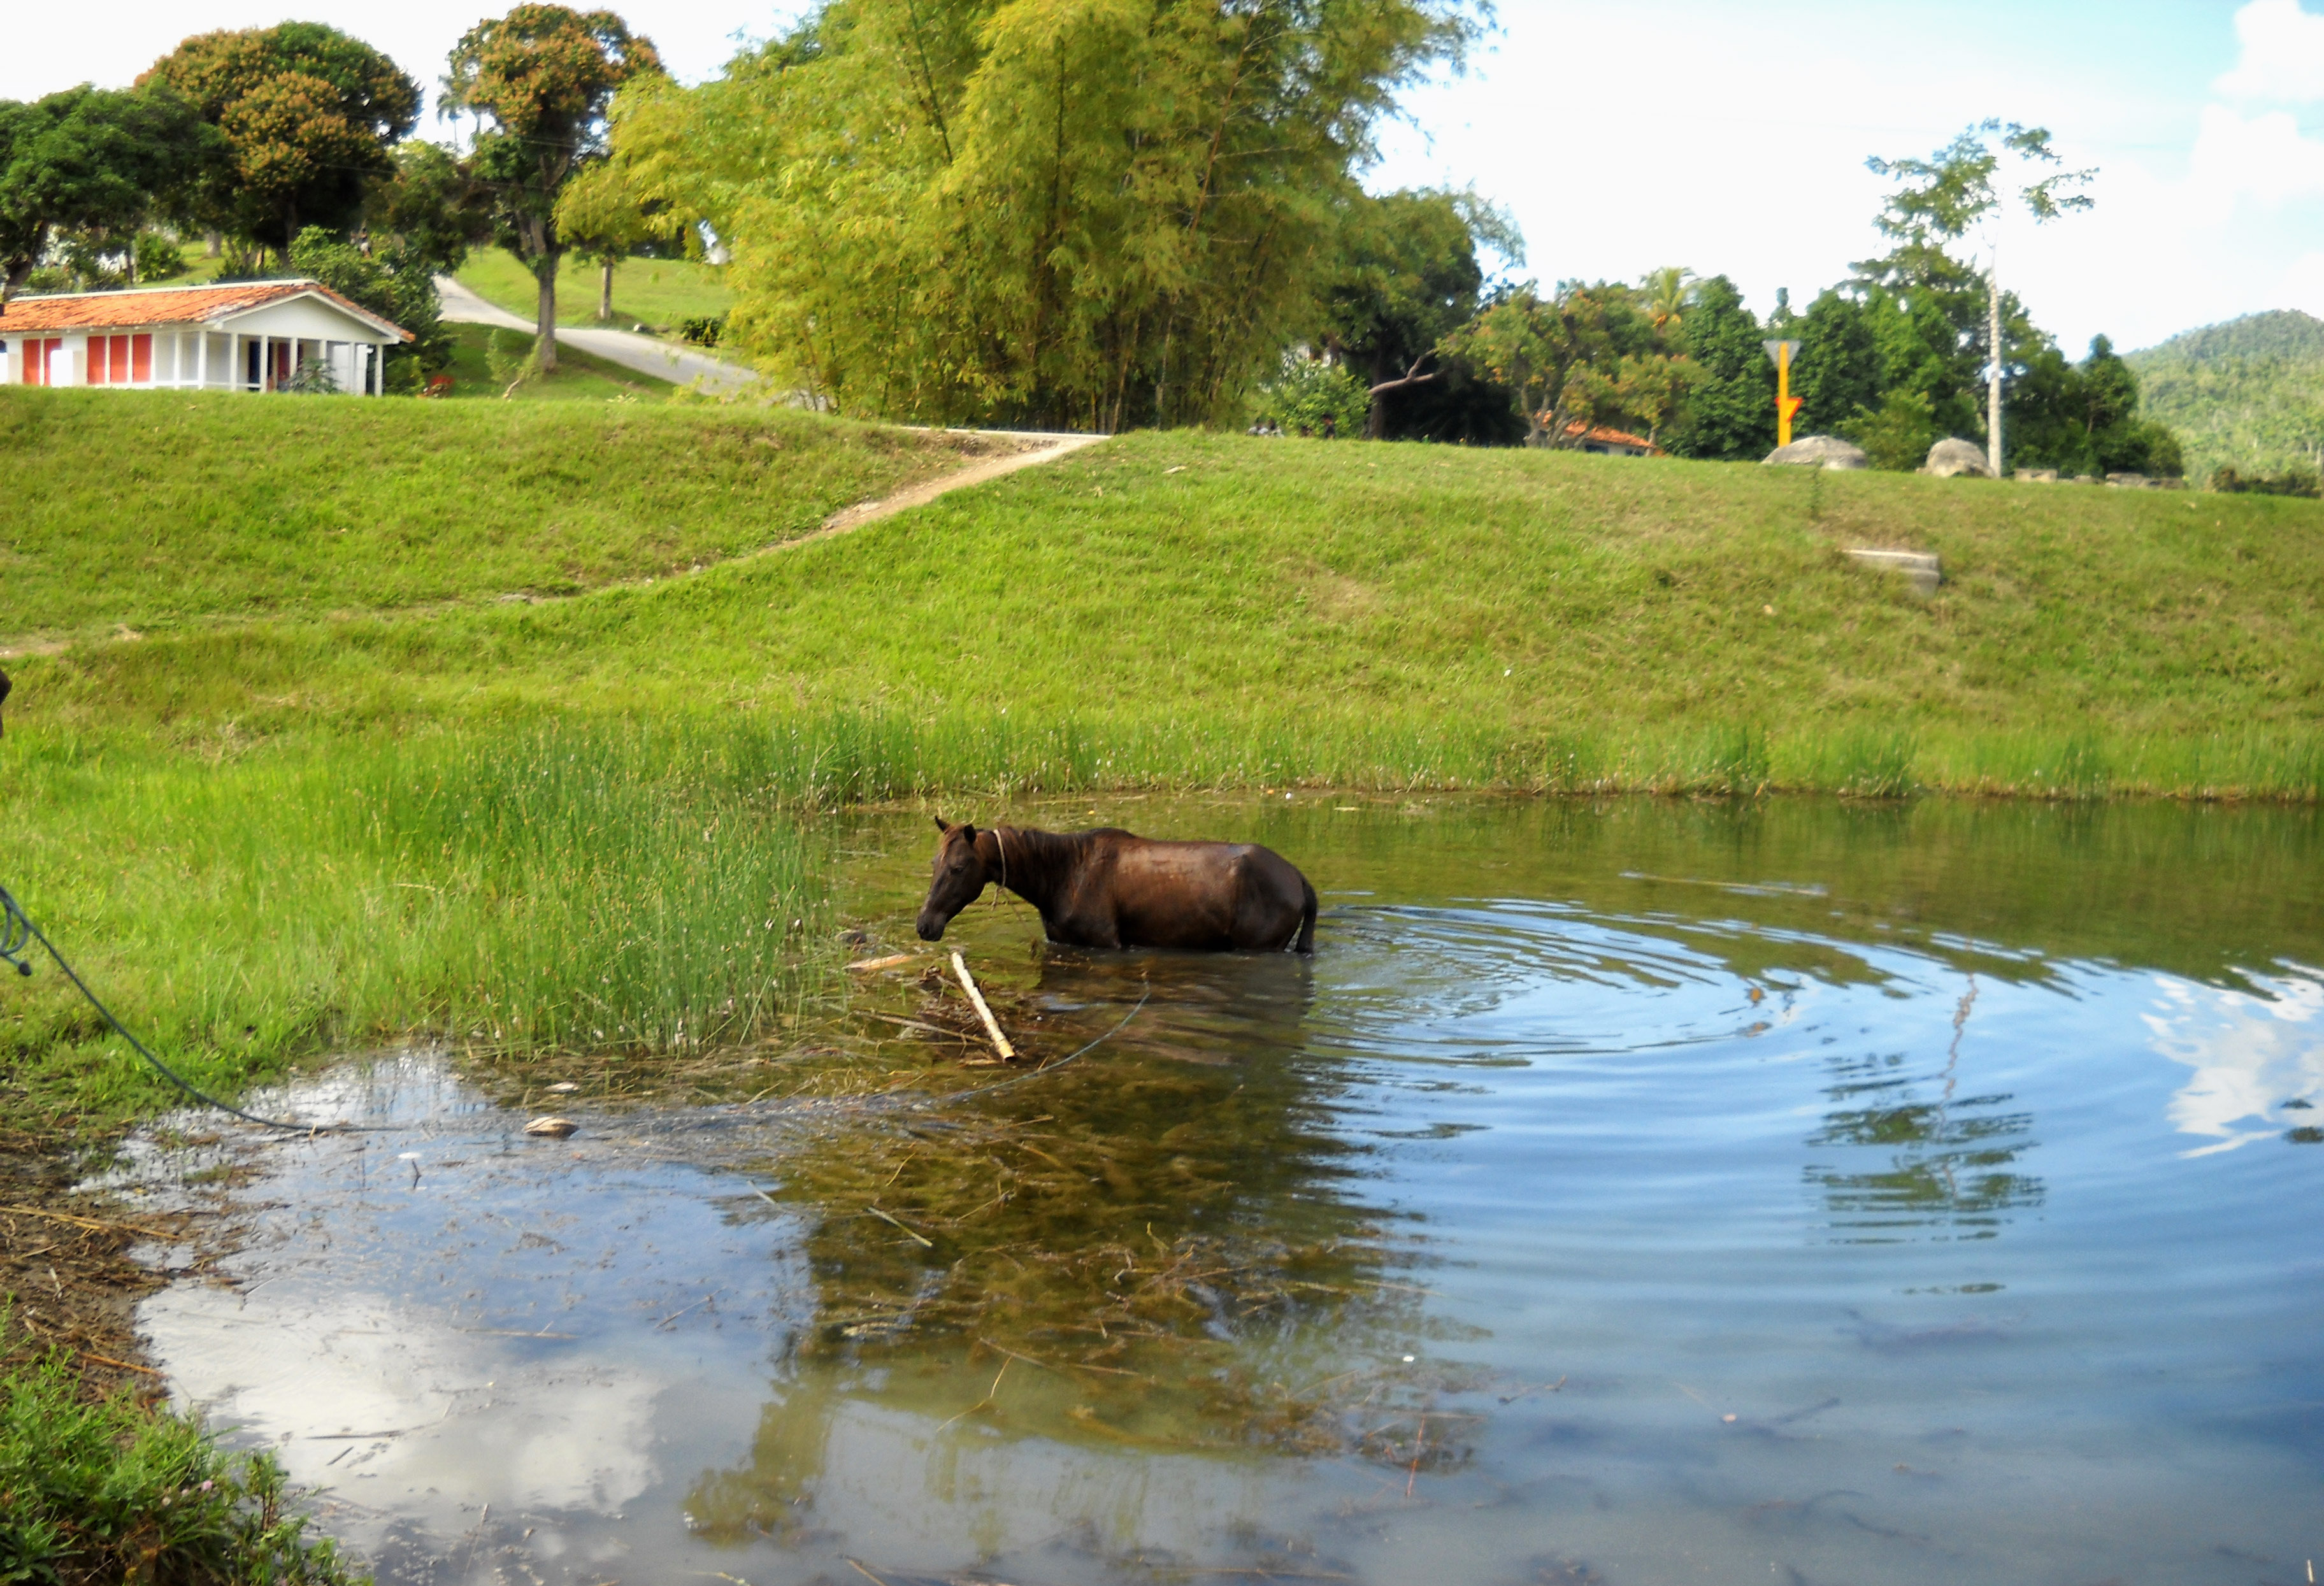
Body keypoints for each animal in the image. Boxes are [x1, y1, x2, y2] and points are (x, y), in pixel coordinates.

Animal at [915, 817, 1320, 957]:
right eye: (934, 864)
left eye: (958, 868)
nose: (925, 925)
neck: (1059, 878)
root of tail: (1300, 880)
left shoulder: (1107, 943)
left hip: (1260, 945)